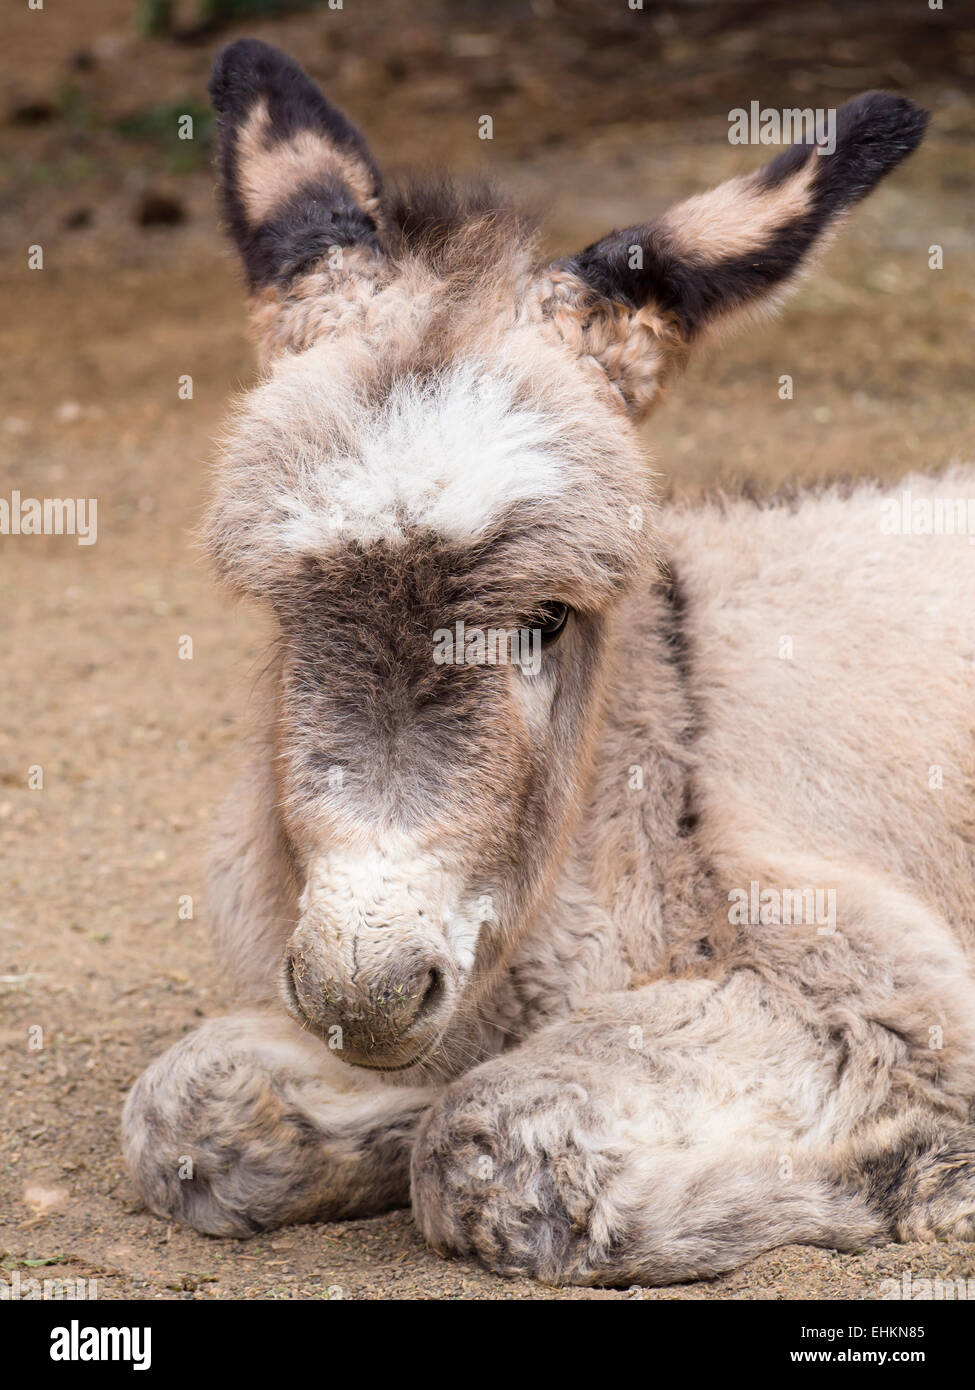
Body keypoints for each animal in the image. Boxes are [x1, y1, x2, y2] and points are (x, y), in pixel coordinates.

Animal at [119, 40, 973, 1278]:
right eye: (284, 612)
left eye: (550, 619)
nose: (364, 991)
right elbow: (189, 1105)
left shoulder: (869, 995)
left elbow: (487, 1140)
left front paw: (904, 1174)